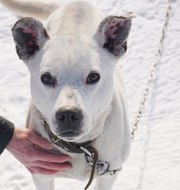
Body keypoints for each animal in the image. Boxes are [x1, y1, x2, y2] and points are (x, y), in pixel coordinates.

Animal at [0, 0, 134, 190]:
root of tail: (75, 2)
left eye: (93, 76)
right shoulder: (42, 175)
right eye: (46, 78)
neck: (81, 148)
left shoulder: (108, 176)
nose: (68, 114)